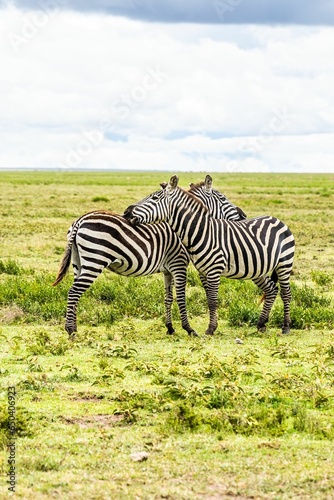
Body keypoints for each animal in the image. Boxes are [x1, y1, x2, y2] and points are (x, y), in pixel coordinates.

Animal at [52, 180, 245, 336]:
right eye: (223, 198)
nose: (243, 215)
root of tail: (80, 221)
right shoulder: (179, 264)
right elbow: (181, 297)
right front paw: (188, 329)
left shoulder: (168, 269)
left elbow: (168, 298)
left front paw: (170, 328)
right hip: (95, 261)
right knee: (74, 291)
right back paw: (71, 330)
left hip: (78, 263)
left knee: (75, 293)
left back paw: (73, 327)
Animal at [123, 175, 294, 336]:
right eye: (223, 198)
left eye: (154, 198)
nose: (126, 212)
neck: (202, 231)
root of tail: (276, 219)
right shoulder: (202, 271)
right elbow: (207, 299)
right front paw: (205, 327)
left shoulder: (209, 269)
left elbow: (212, 300)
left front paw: (210, 329)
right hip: (258, 268)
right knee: (272, 289)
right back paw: (261, 324)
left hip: (284, 264)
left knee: (286, 293)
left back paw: (285, 327)